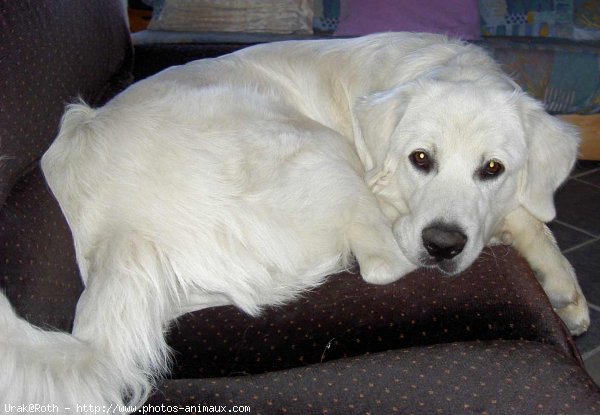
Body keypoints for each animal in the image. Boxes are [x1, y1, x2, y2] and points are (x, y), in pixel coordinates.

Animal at [0, 32, 592, 412]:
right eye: (420, 158)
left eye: (492, 168)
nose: (443, 245)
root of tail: (120, 232)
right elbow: (518, 217)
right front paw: (555, 276)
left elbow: (523, 210)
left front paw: (561, 288)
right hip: (319, 151)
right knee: (382, 264)